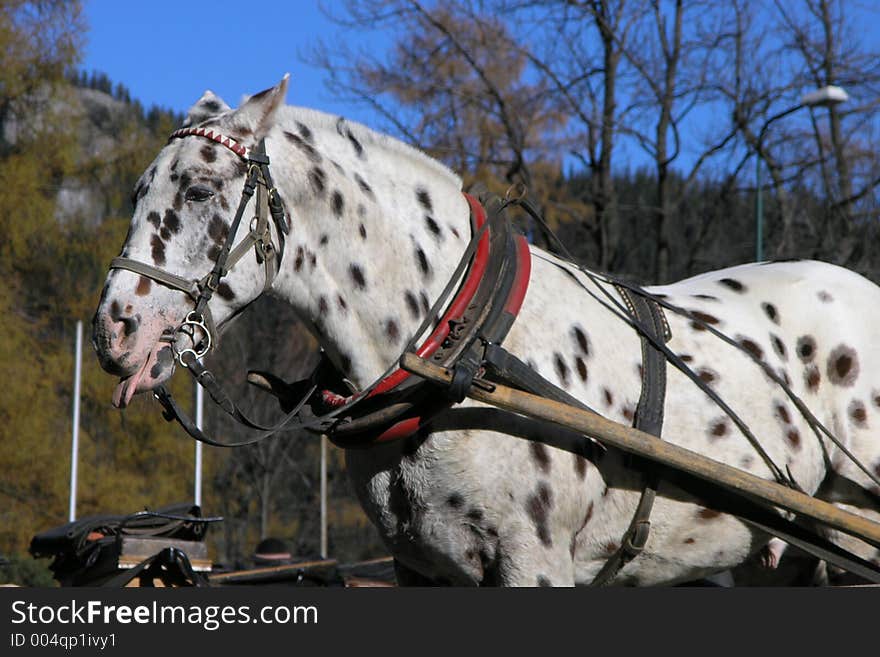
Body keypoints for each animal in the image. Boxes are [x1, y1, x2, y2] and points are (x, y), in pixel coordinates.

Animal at [91, 75, 880, 584]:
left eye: (199, 190)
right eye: (135, 191)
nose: (112, 330)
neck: (460, 350)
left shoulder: (534, 564)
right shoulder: (418, 569)